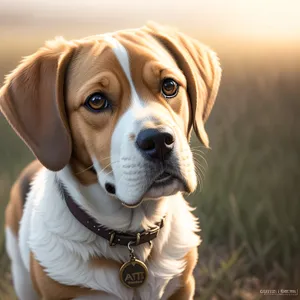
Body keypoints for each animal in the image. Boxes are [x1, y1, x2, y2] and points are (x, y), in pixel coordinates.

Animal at [0, 22, 220, 298]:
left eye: (169, 86)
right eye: (96, 101)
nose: (159, 140)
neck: (132, 237)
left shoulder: (181, 286)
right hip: (21, 276)